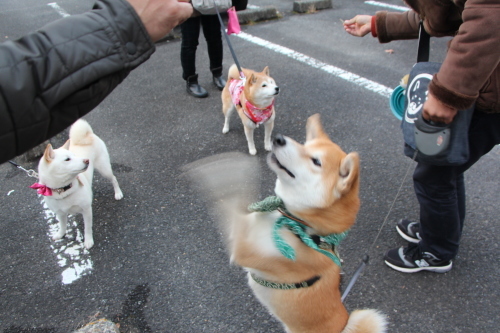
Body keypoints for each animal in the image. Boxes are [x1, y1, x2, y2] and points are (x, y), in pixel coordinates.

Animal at [32, 118, 122, 246]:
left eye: (74, 156)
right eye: (67, 159)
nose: (87, 160)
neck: (63, 190)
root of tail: (88, 134)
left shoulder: (86, 210)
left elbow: (87, 228)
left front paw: (88, 241)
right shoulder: (60, 213)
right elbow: (62, 226)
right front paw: (60, 235)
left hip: (104, 169)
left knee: (114, 179)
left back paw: (118, 193)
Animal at [186, 113, 384, 330]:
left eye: (316, 161)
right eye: (304, 144)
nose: (279, 138)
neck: (301, 228)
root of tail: (343, 324)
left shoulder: (244, 251)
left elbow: (234, 198)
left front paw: (224, 174)